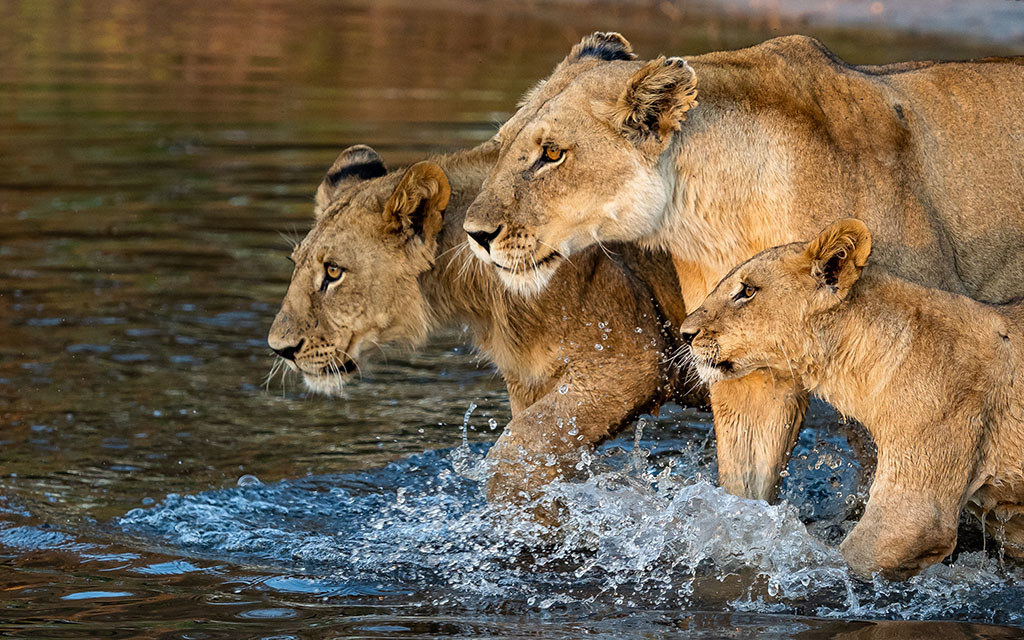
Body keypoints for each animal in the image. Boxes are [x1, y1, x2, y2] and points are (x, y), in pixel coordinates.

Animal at [266, 141, 701, 520]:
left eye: (333, 272)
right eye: (296, 264)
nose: (279, 348)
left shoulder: (631, 359)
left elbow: (514, 451)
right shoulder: (533, 383)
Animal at [461, 31, 1024, 503]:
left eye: (552, 154)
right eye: (504, 144)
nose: (474, 234)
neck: (715, 208)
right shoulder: (741, 363)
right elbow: (745, 488)